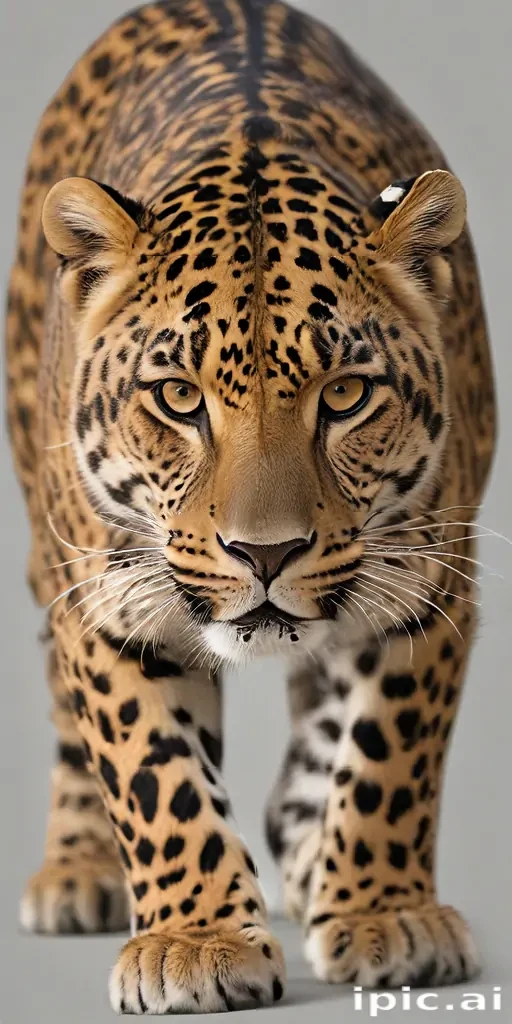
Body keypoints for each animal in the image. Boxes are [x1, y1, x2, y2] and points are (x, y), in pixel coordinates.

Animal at [6, 0, 496, 1014]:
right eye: (177, 398)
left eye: (345, 395)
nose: (265, 555)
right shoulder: (106, 601)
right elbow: (153, 771)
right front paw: (195, 940)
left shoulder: (437, 579)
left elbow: (390, 748)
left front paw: (384, 914)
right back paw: (79, 869)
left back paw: (310, 850)